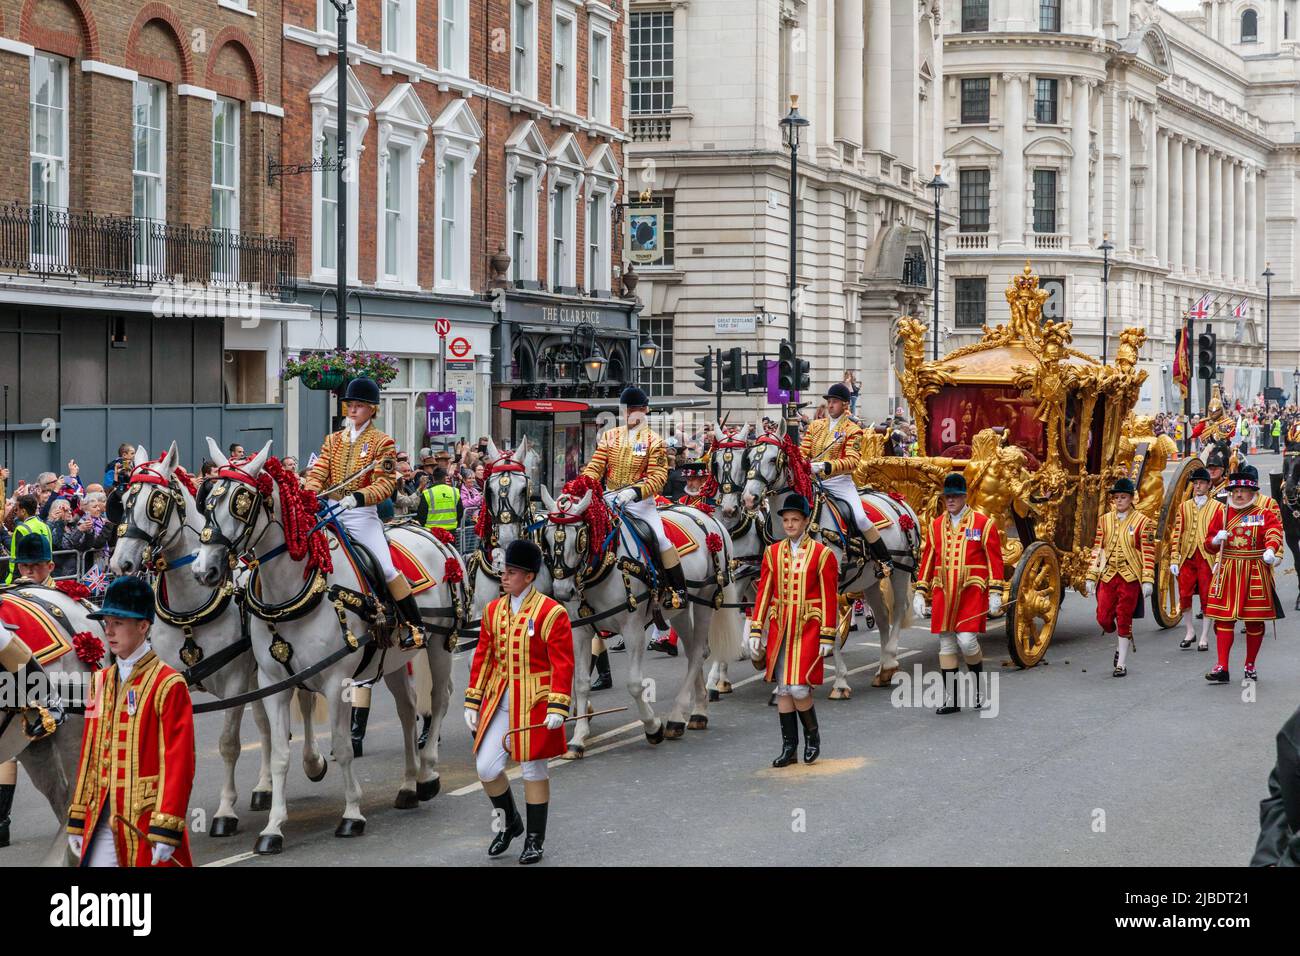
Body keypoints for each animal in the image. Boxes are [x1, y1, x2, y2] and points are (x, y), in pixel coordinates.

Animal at [107, 442, 278, 837]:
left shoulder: (234, 681)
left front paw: (225, 812)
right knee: (265, 725)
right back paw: (264, 788)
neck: (189, 608)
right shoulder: (171, 679)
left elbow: (228, 744)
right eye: (123, 500)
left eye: (156, 503)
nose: (121, 564)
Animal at [189, 439, 460, 853]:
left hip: (440, 644)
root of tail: (429, 533)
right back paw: (408, 784)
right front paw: (273, 828)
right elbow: (281, 753)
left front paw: (352, 815)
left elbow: (343, 746)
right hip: (393, 661)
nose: (205, 570)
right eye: (207, 502)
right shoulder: (275, 683)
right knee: (406, 709)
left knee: (439, 700)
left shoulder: (336, 682)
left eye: (241, 502)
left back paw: (428, 774)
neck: (297, 590)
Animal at [535, 486, 743, 754]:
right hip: (680, 609)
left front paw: (653, 727)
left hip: (706, 600)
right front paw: (578, 738)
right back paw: (696, 711)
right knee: (694, 652)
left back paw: (677, 716)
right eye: (548, 538)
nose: (562, 592)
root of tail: (707, 516)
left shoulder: (632, 629)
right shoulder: (580, 632)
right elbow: (580, 682)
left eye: (580, 537)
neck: (606, 564)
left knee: (698, 652)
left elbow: (634, 684)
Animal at [743, 429, 915, 697]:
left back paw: (889, 662)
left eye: (773, 459)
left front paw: (840, 682)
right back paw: (882, 671)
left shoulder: (829, 584)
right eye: (749, 459)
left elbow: (829, 631)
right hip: (869, 580)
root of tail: (897, 499)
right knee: (882, 616)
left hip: (900, 569)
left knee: (897, 610)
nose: (749, 499)